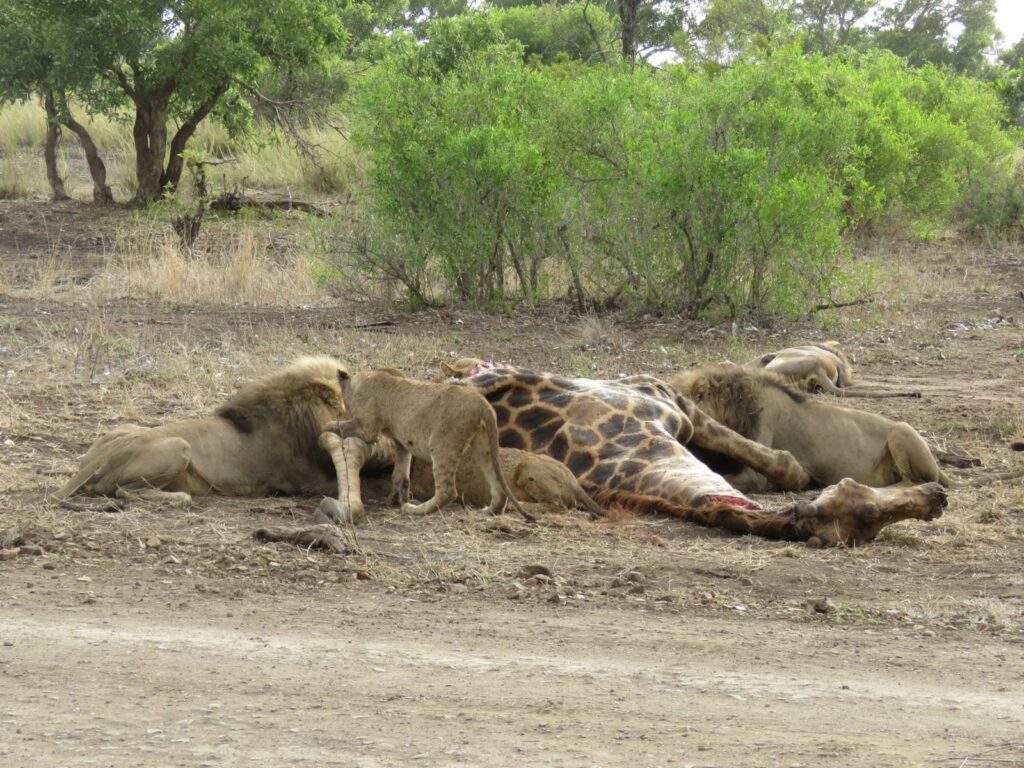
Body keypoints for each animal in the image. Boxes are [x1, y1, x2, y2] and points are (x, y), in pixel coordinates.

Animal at [58, 356, 350, 505]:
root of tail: (100, 457)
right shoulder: (302, 480)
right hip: (179, 446)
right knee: (123, 491)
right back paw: (180, 497)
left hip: (123, 429)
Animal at [329, 368, 530, 518]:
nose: (340, 408)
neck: (358, 381)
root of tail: (483, 403)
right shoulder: (401, 443)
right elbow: (401, 475)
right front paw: (394, 500)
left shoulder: (367, 429)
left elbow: (338, 426)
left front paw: (329, 425)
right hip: (484, 447)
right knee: (497, 484)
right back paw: (490, 511)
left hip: (442, 443)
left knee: (448, 490)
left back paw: (415, 509)